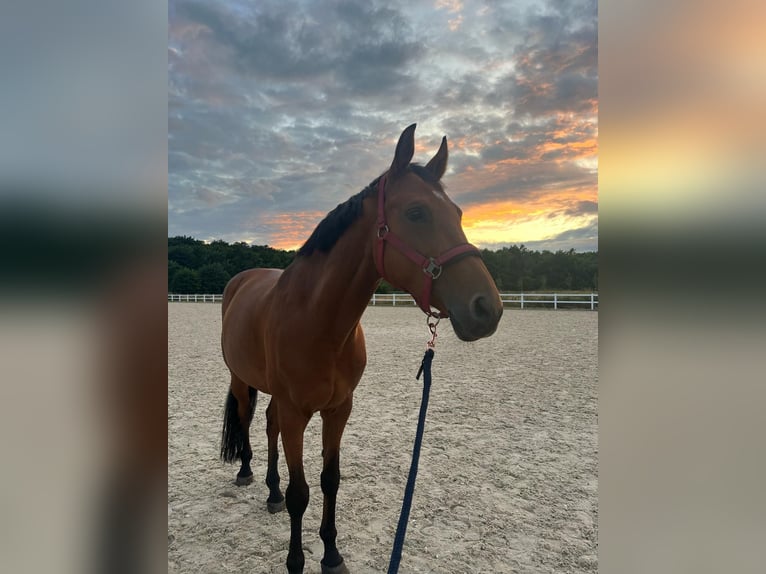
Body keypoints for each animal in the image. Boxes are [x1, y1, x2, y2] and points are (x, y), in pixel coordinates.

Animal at [219, 124, 504, 572]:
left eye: (458, 213)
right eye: (416, 212)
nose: (487, 308)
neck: (319, 322)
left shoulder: (339, 410)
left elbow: (329, 481)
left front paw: (332, 554)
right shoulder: (297, 413)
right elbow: (302, 493)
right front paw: (296, 561)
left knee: (267, 424)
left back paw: (272, 491)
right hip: (240, 379)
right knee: (248, 421)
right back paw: (248, 474)